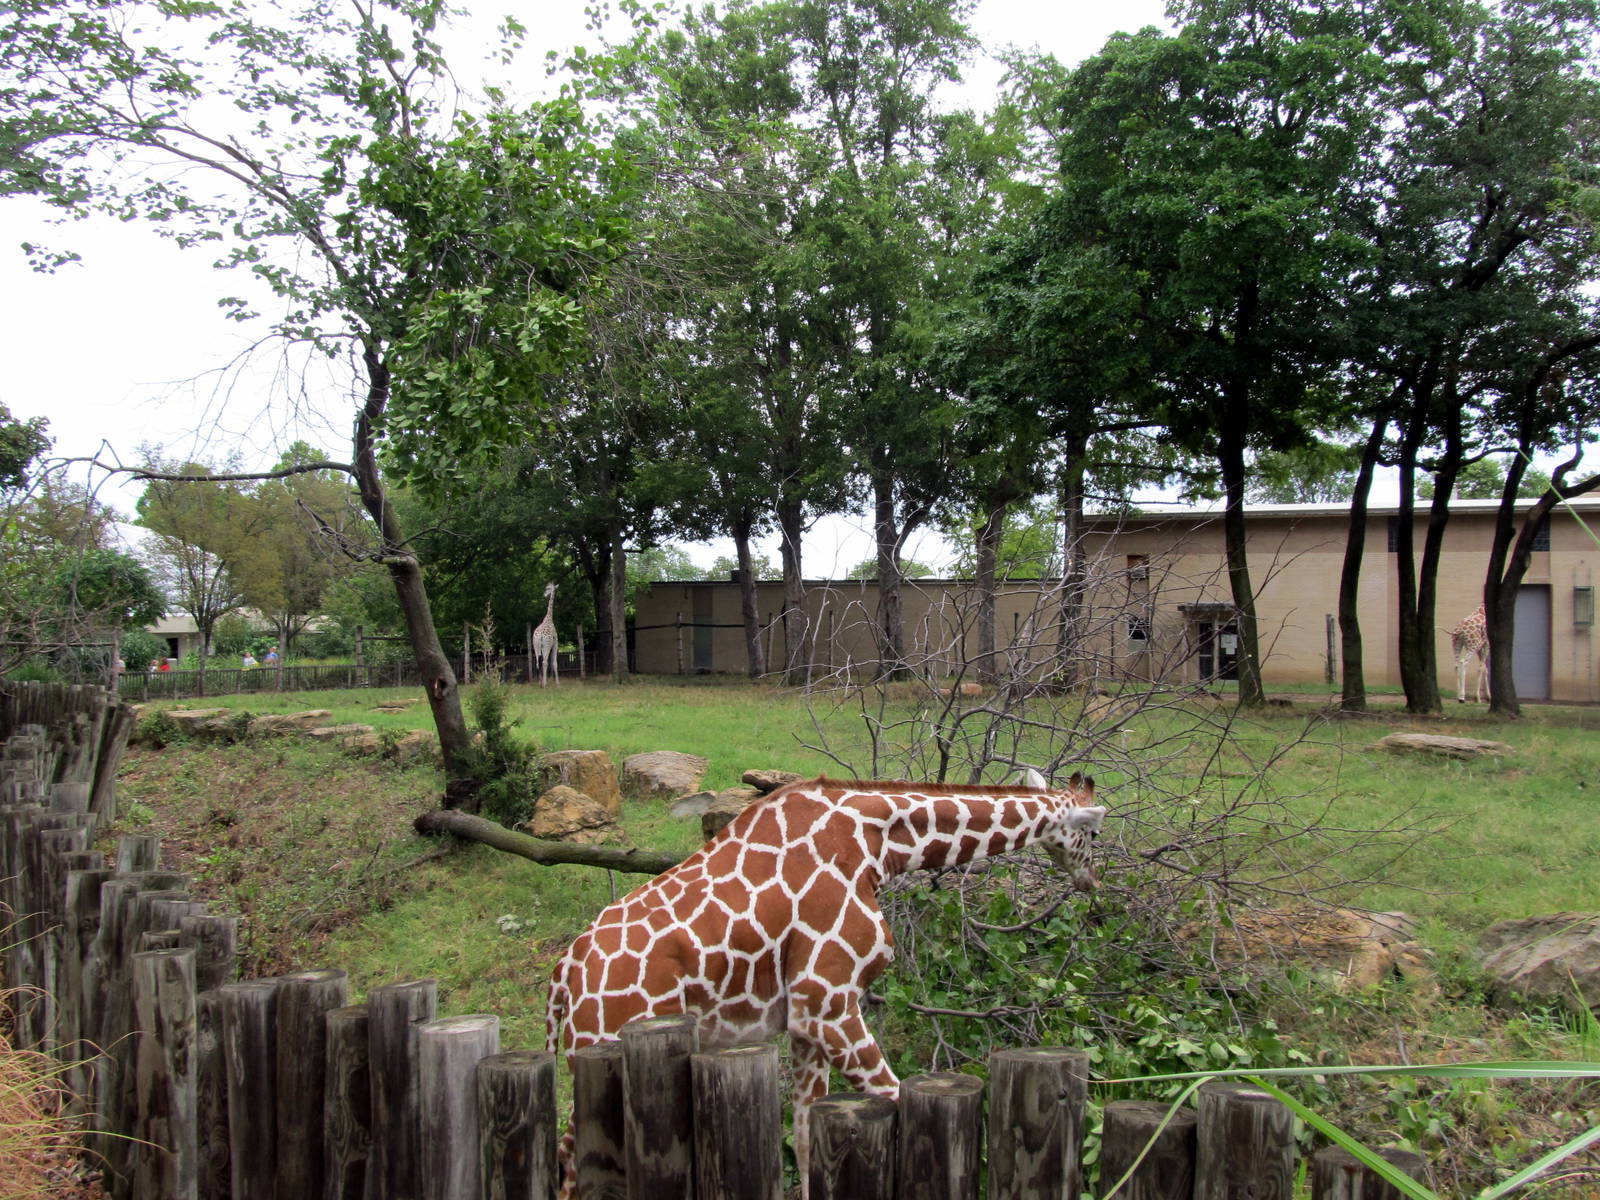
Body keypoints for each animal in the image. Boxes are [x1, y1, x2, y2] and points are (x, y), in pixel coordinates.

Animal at [544, 769, 1107, 1195]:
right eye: (1095, 833)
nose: (1092, 881)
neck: (880, 847)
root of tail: (563, 975)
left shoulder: (803, 1022)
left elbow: (806, 1137)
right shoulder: (826, 1000)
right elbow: (893, 1095)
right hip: (601, 1051)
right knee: (575, 1161)